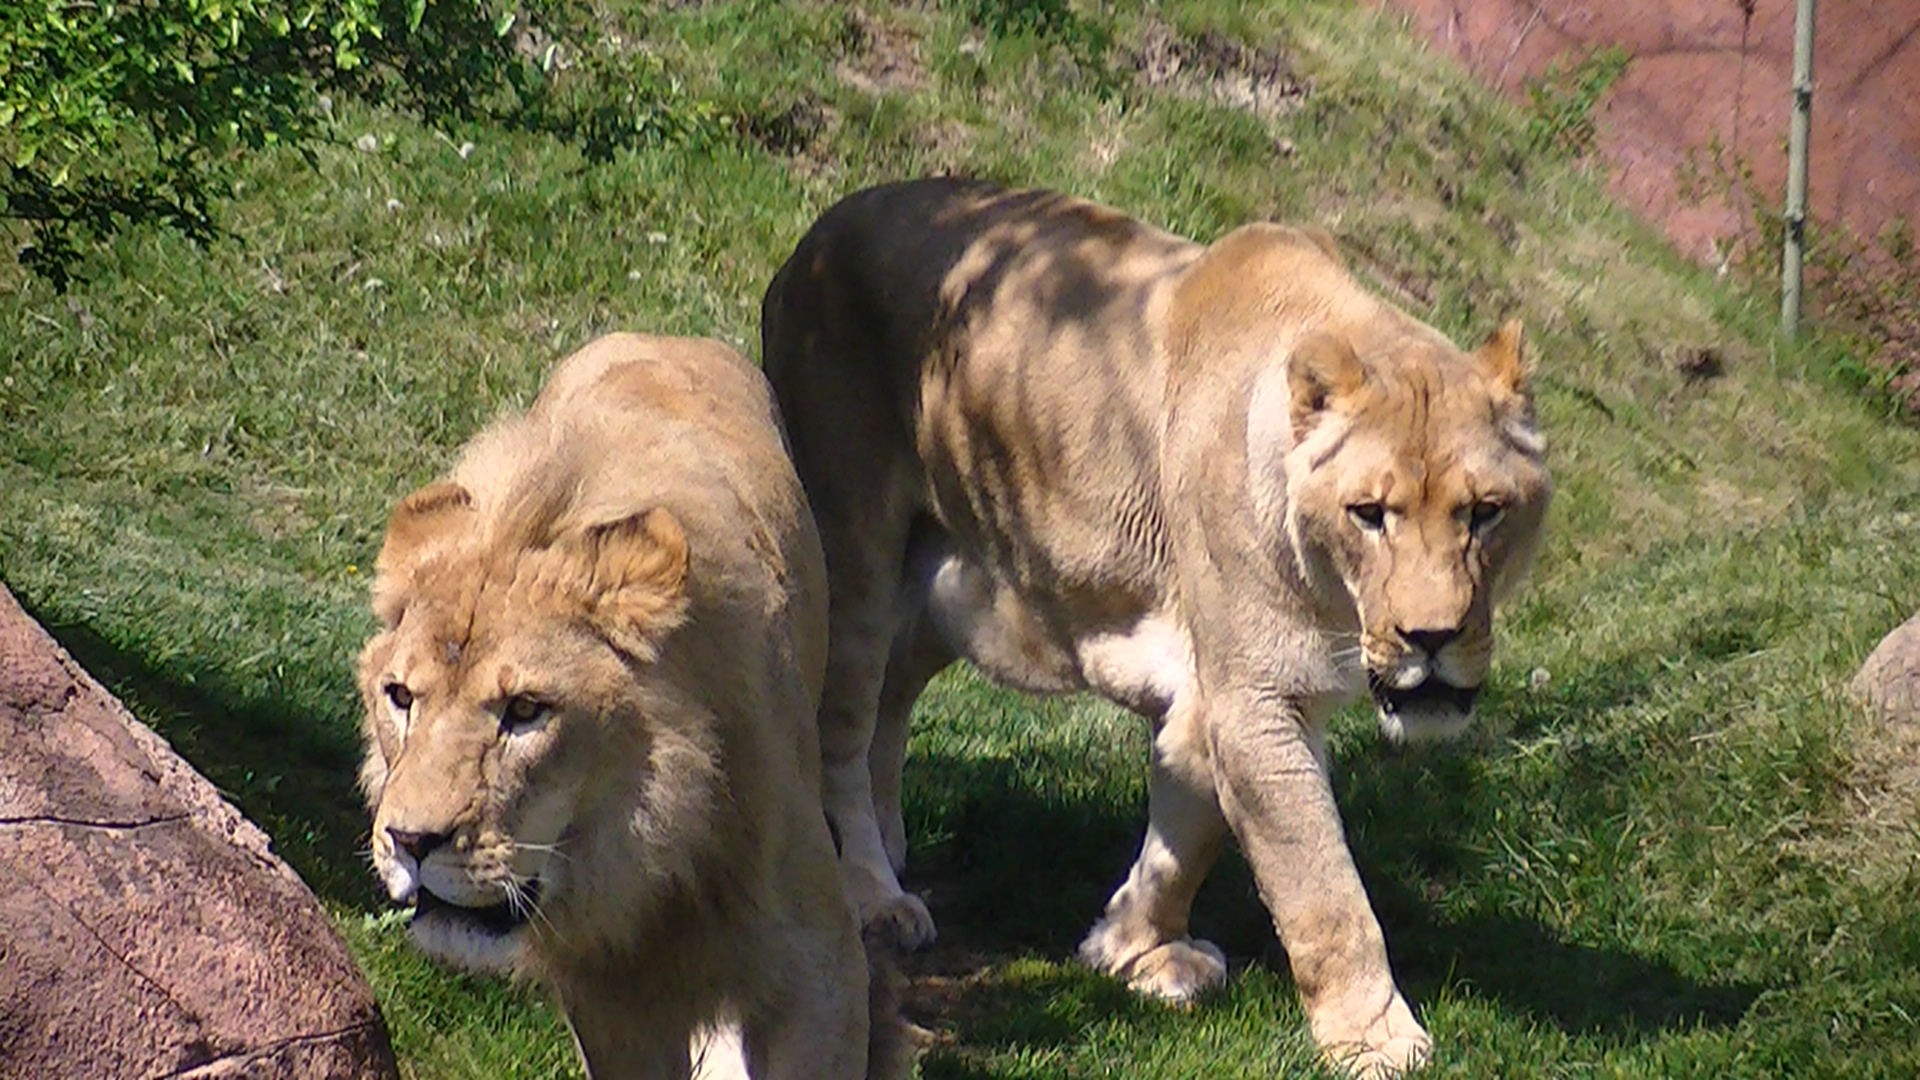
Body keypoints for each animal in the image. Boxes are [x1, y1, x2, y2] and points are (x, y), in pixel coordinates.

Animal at [355, 332, 906, 1068]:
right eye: (400, 697)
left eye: (525, 709)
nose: (411, 841)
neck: (649, 861)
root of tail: (666, 336)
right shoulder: (611, 1003)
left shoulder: (822, 971)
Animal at [756, 176, 1551, 1068]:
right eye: (1370, 514)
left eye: (1485, 513)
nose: (1432, 639)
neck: (1336, 603)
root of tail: (819, 232)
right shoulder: (1258, 698)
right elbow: (1321, 886)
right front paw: (1375, 1039)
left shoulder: (1220, 692)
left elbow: (1190, 827)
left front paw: (1131, 948)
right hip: (854, 554)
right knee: (841, 732)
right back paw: (873, 894)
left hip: (951, 581)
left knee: (890, 704)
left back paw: (894, 852)